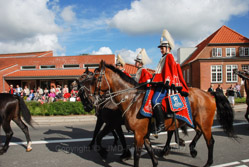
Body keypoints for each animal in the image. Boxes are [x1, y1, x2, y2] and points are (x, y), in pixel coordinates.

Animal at [89, 61, 235, 167]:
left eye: (95, 77)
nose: (90, 99)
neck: (131, 99)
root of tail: (209, 94)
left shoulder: (137, 133)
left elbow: (137, 153)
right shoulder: (142, 133)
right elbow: (149, 149)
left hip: (204, 123)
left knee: (210, 141)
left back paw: (207, 162)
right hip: (194, 121)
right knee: (198, 133)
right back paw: (191, 149)